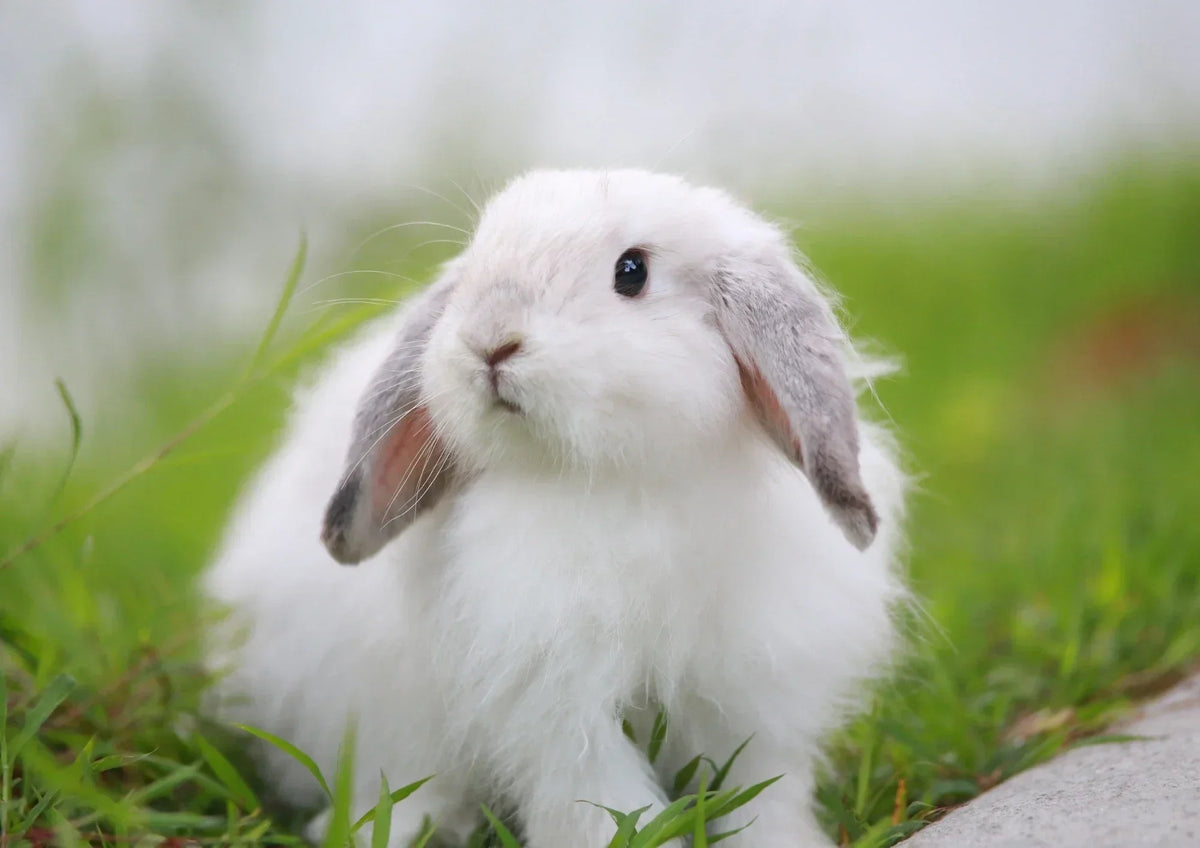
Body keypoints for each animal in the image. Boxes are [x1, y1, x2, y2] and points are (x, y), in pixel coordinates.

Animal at [203, 168, 908, 848]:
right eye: (477, 259)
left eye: (632, 271)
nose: (490, 341)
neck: (616, 480)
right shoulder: (558, 710)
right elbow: (599, 804)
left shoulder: (755, 698)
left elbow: (762, 793)